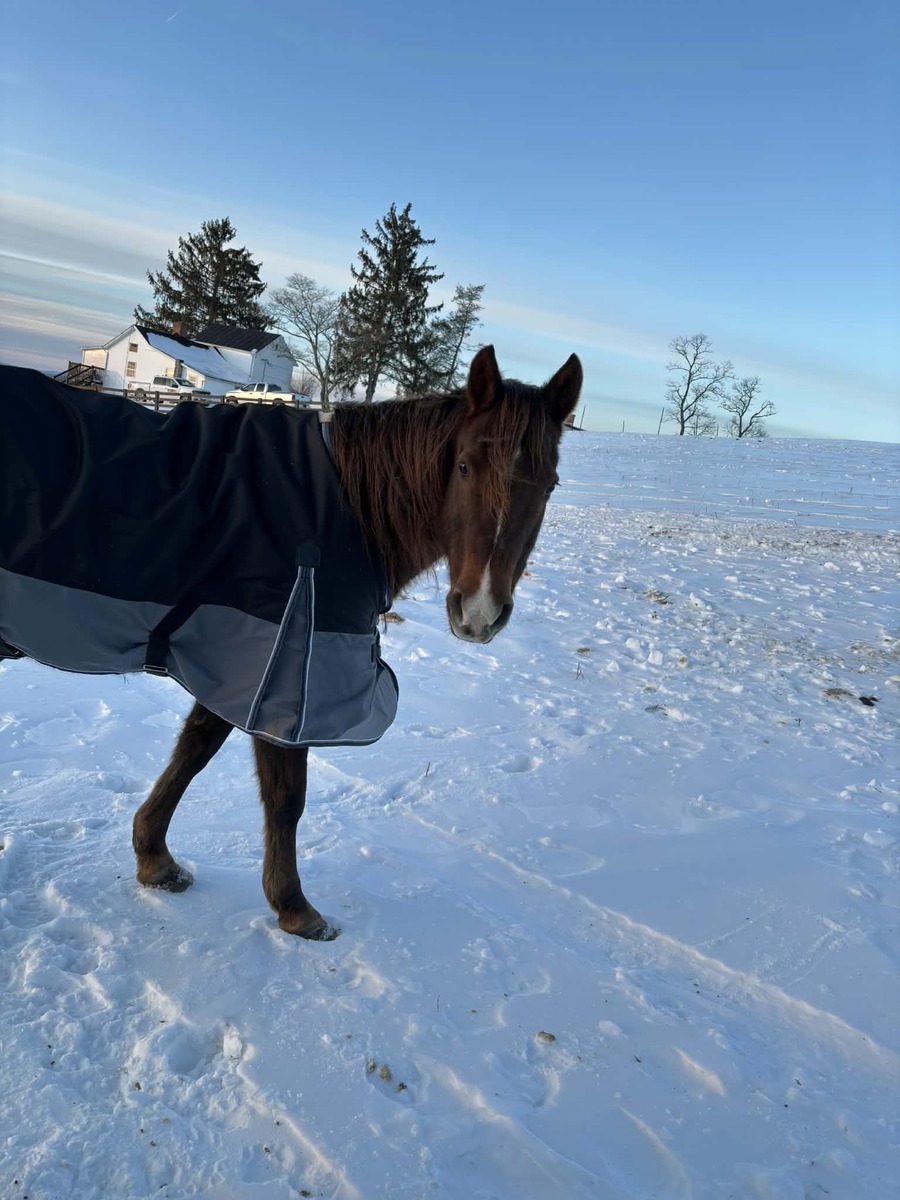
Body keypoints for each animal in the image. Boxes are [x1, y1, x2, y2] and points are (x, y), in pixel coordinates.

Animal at [1, 345, 582, 938]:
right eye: (464, 466)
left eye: (550, 485)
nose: (480, 612)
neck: (344, 506)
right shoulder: (291, 670)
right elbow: (286, 798)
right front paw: (295, 908)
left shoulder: (239, 667)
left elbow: (194, 750)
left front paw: (155, 857)